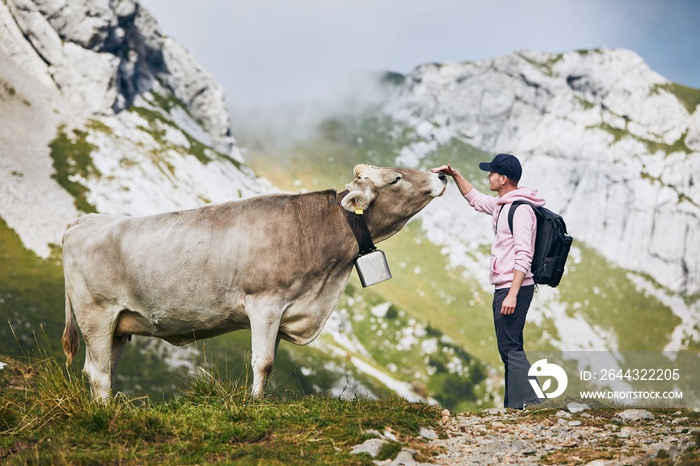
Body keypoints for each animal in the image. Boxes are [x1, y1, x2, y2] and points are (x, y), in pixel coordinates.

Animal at [64, 163, 448, 396]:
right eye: (396, 178)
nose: (441, 176)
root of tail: (85, 220)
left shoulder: (284, 311)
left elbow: (271, 363)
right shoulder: (265, 303)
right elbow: (262, 362)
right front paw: (255, 404)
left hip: (120, 325)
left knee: (101, 369)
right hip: (96, 315)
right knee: (98, 373)